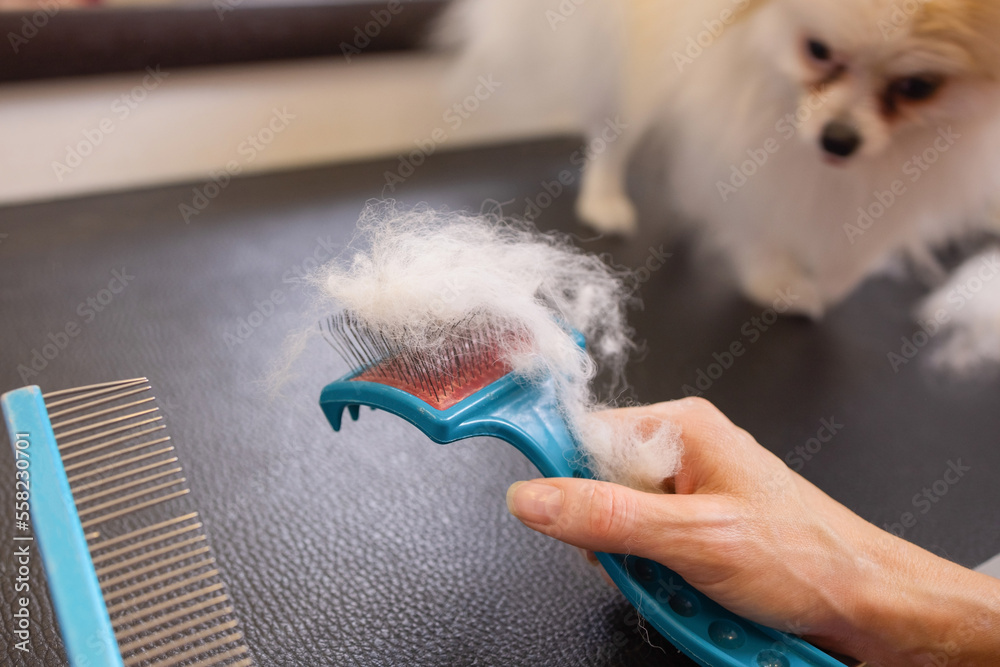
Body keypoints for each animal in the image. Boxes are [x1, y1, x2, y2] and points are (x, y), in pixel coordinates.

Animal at [442, 0, 1000, 326]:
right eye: (817, 50)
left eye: (919, 87)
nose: (839, 139)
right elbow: (752, 200)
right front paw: (775, 281)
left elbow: (864, 237)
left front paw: (833, 276)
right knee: (616, 121)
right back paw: (605, 197)